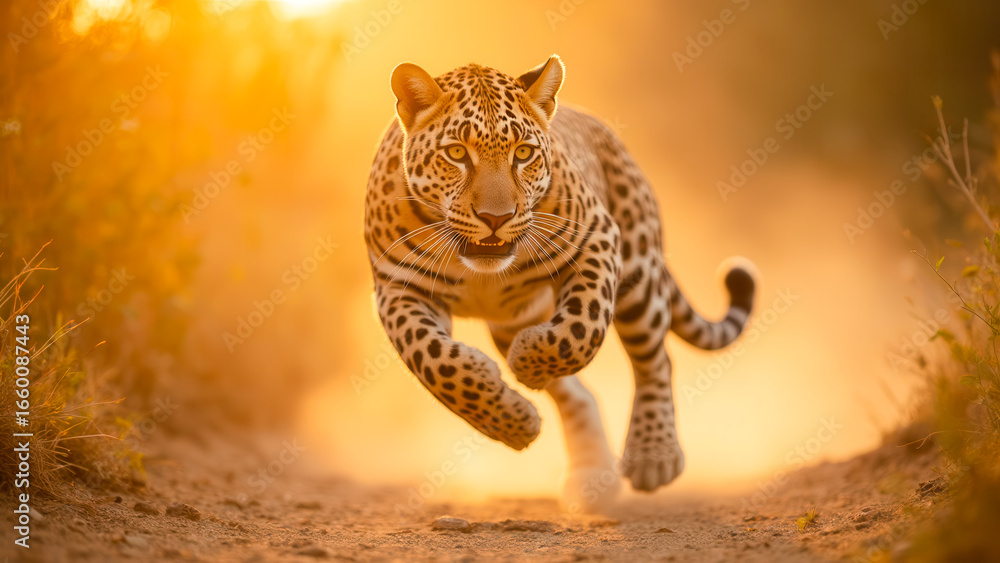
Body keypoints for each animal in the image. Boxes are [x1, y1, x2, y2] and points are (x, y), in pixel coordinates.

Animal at [363, 55, 757, 511]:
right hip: (514, 318)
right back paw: (591, 476)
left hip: (638, 270)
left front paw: (528, 364)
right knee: (579, 394)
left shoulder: (596, 238)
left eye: (523, 153)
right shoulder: (398, 288)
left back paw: (652, 455)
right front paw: (513, 423)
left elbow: (579, 331)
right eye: (457, 153)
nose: (496, 217)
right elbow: (435, 360)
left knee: (654, 360)